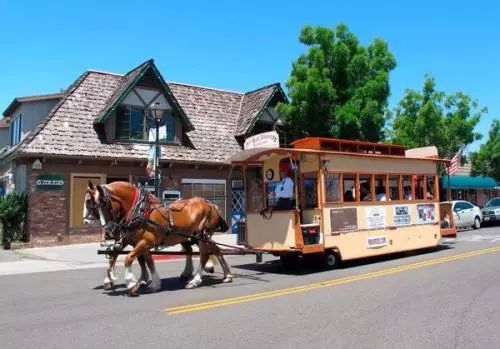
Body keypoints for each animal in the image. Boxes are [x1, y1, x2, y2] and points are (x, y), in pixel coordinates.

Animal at [85, 181, 233, 294]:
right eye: (93, 204)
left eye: (104, 203)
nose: (109, 230)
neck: (139, 210)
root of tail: (210, 204)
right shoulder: (139, 243)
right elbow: (147, 261)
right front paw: (152, 283)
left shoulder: (145, 242)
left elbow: (129, 258)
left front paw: (132, 284)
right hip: (196, 237)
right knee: (212, 249)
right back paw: (227, 275)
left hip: (201, 235)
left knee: (204, 255)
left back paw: (195, 280)